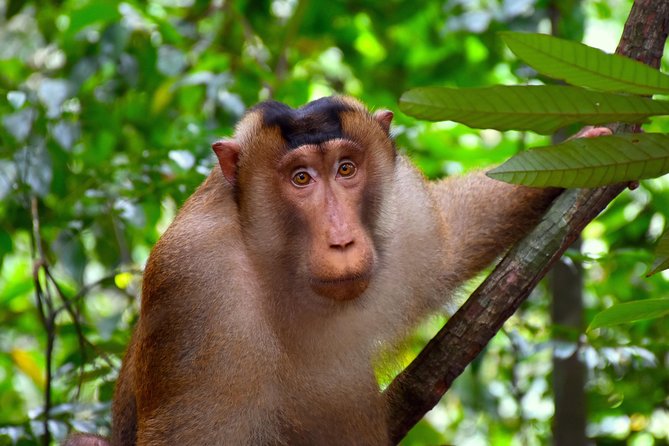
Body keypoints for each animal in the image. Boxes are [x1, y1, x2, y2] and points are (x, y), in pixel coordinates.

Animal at [65, 97, 611, 445]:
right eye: (300, 178)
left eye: (346, 168)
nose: (343, 239)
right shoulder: (196, 284)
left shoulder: (405, 206)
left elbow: (449, 237)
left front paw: (580, 150)